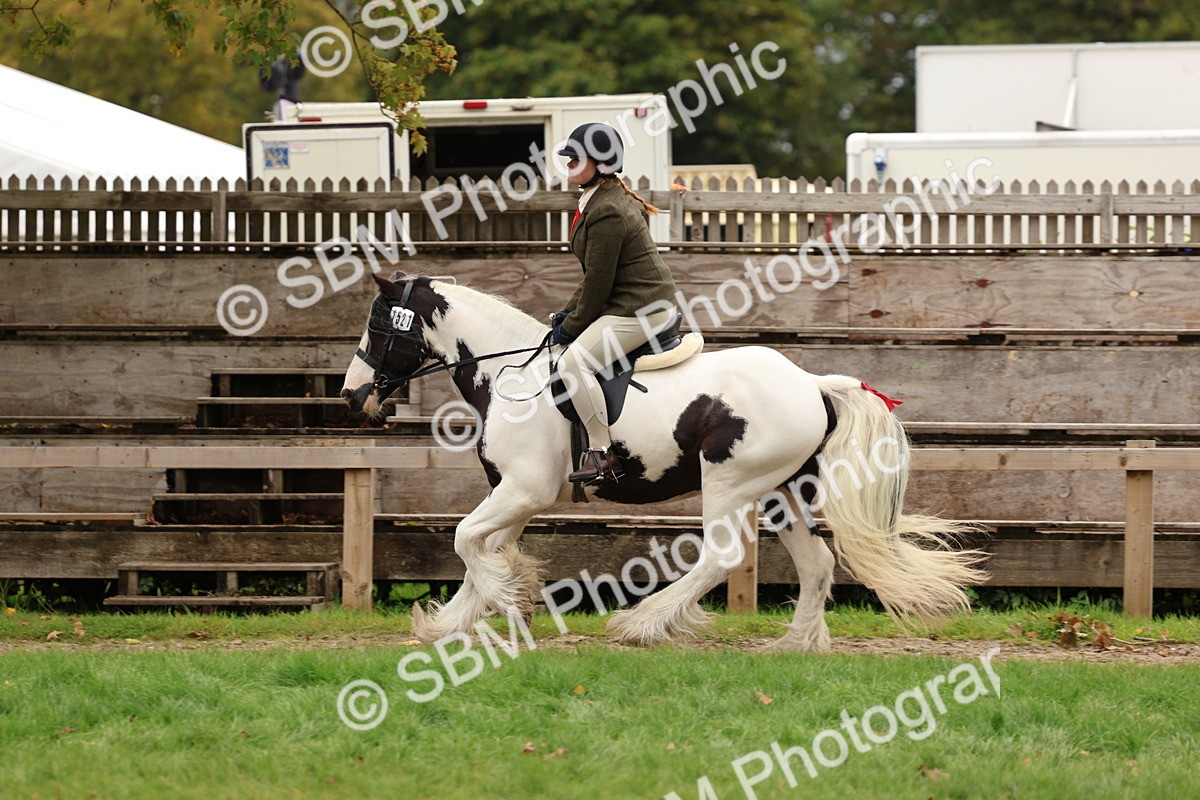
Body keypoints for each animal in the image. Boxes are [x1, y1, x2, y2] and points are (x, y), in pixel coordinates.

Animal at [341, 272, 984, 652]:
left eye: (375, 324)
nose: (352, 395)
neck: (510, 374)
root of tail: (812, 383)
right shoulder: (514, 496)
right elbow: (482, 550)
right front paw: (454, 620)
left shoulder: (522, 491)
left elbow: (466, 542)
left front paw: (509, 602)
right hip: (781, 493)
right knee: (818, 563)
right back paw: (795, 645)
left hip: (730, 481)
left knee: (722, 556)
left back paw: (642, 623)